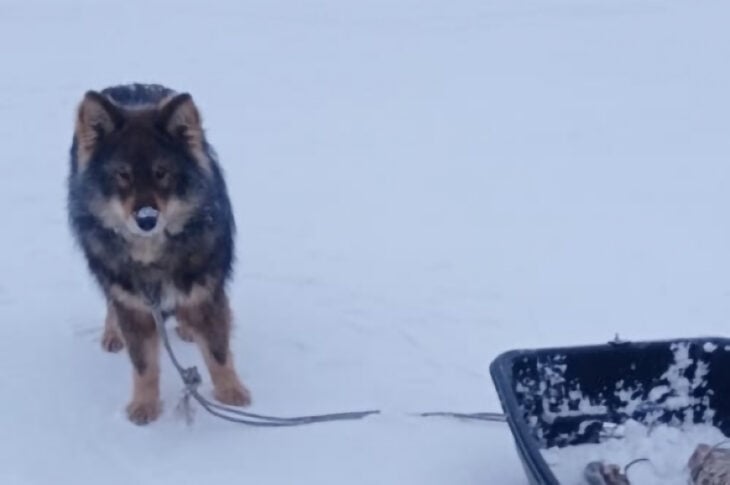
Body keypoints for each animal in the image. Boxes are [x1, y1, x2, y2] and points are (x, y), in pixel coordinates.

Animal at [68, 83, 250, 424]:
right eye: (123, 174)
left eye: (161, 173)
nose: (146, 219)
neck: (152, 254)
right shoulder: (133, 305)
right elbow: (144, 365)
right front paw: (144, 406)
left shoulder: (207, 292)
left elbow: (218, 352)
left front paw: (231, 394)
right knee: (110, 302)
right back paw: (113, 334)